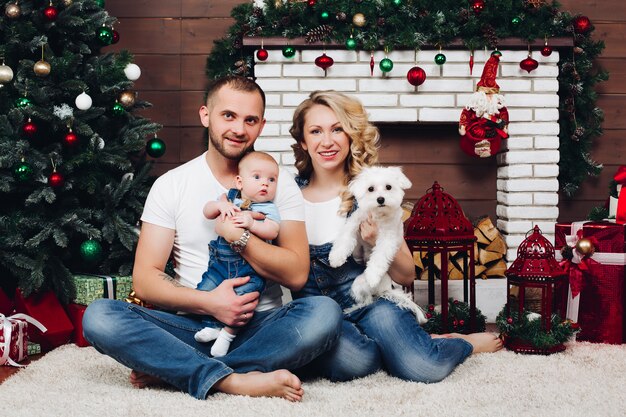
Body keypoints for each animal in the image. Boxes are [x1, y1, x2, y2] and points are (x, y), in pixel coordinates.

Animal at [326, 166, 424, 322]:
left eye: (388, 187)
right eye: (370, 189)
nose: (380, 199)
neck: (378, 216)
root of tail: (384, 289)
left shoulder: (387, 239)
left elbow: (379, 257)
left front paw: (372, 276)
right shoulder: (355, 222)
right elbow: (345, 237)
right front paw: (336, 258)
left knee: (369, 301)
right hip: (357, 285)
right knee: (367, 300)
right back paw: (352, 309)